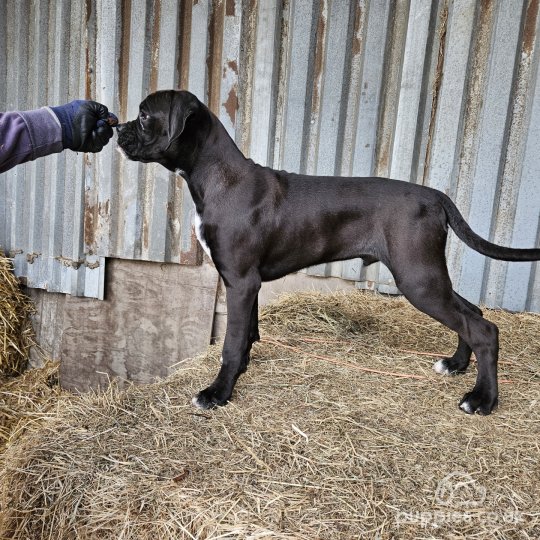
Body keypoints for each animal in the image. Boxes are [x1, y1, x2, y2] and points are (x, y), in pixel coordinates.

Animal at [118, 90, 540, 416]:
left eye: (144, 115)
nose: (117, 128)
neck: (219, 177)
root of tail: (437, 196)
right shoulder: (249, 284)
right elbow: (248, 333)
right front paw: (241, 372)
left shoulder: (239, 280)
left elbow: (231, 342)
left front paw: (218, 392)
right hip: (428, 273)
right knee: (472, 313)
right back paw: (455, 364)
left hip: (418, 278)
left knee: (483, 328)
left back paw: (482, 400)